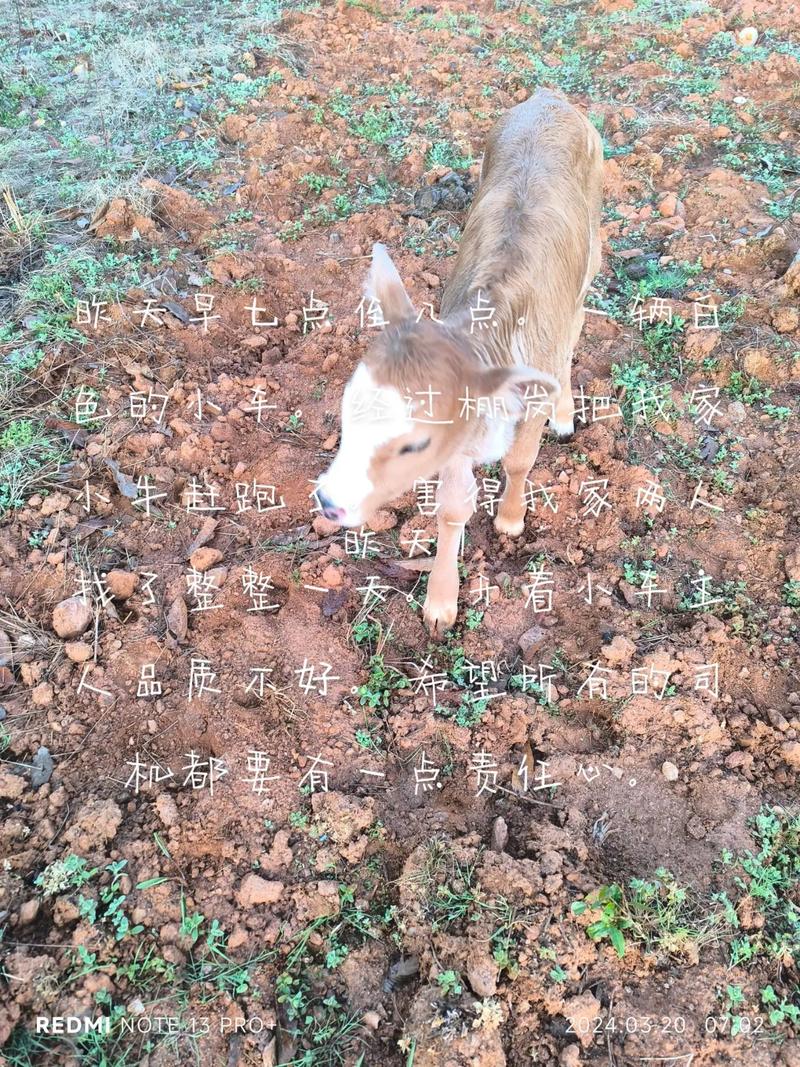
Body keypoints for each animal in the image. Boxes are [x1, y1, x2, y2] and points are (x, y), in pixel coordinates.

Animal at [315, 89, 605, 631]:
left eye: (414, 443)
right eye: (346, 412)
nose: (328, 501)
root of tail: (548, 97)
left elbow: (519, 460)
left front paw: (510, 518)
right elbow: (452, 508)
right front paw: (440, 603)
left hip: (592, 242)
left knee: (578, 319)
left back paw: (564, 414)